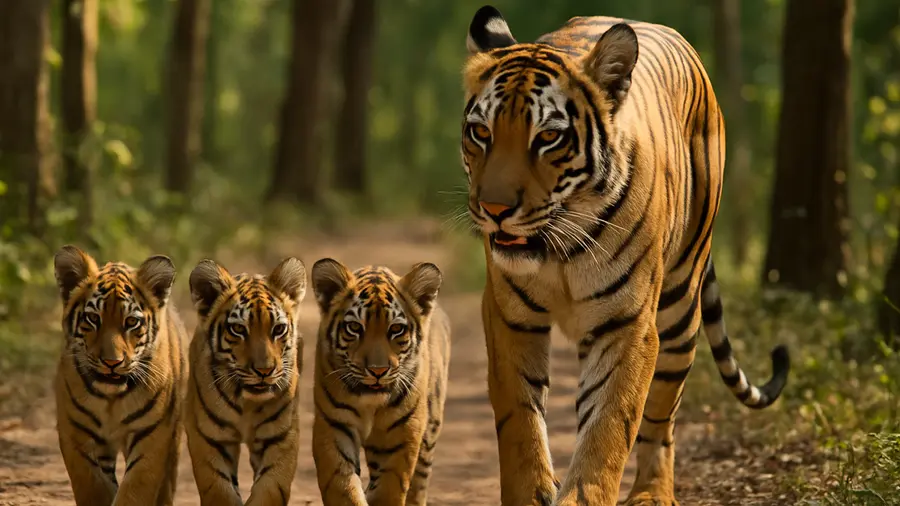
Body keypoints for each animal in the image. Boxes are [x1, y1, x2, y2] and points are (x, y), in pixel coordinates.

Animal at [52, 245, 187, 506]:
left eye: (131, 322)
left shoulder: (152, 436)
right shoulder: (76, 434)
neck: (111, 400)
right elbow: (93, 489)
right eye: (93, 318)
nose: (112, 363)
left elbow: (135, 491)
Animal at [184, 257, 307, 506]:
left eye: (278, 329)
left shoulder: (280, 436)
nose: (264, 370)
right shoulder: (208, 436)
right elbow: (219, 489)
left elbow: (270, 488)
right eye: (238, 329)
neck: (248, 403)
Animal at [309, 258, 450, 506]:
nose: (378, 370)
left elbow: (390, 488)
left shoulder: (403, 431)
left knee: (419, 481)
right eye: (355, 327)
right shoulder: (333, 426)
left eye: (396, 329)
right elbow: (342, 487)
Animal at [459, 6, 791, 505]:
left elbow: (609, 427)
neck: (557, 246)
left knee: (661, 419)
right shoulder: (509, 315)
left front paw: (583, 495)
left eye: (548, 137)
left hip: (679, 307)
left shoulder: (627, 324)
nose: (494, 211)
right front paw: (533, 491)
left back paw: (652, 492)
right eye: (481, 132)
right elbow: (519, 420)